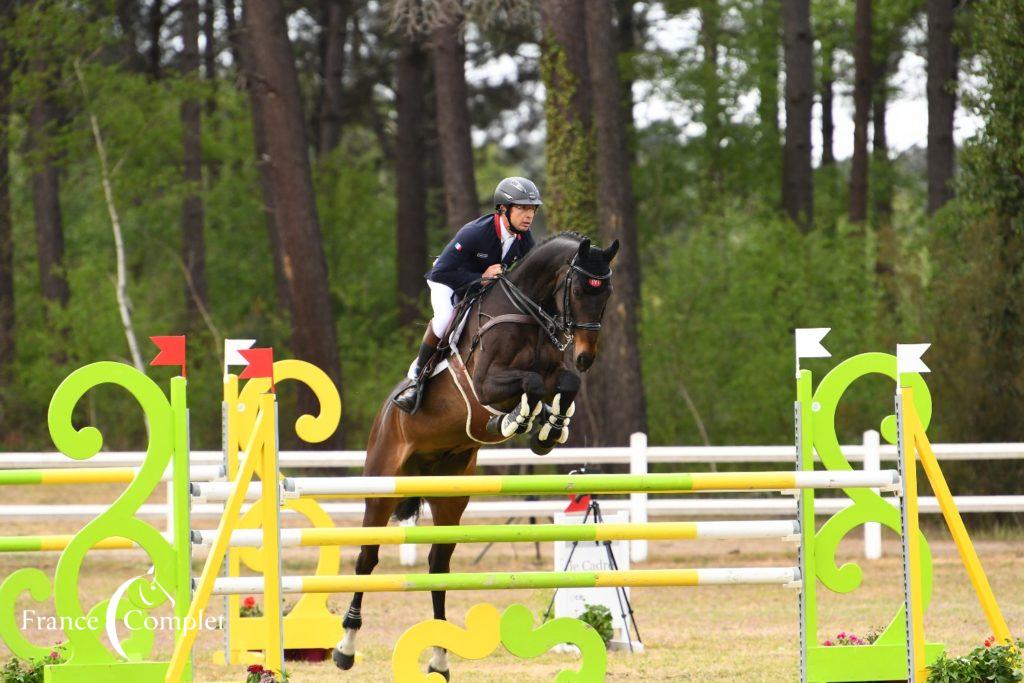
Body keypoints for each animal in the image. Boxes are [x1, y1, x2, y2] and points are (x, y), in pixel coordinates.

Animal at [333, 233, 614, 679]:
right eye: (579, 290)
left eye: (607, 293)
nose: (586, 356)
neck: (528, 312)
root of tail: (383, 417)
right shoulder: (485, 382)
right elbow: (530, 383)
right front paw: (517, 419)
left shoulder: (556, 371)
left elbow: (563, 382)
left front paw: (548, 429)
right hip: (382, 489)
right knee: (366, 559)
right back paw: (345, 647)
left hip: (450, 497)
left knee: (437, 566)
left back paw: (439, 658)